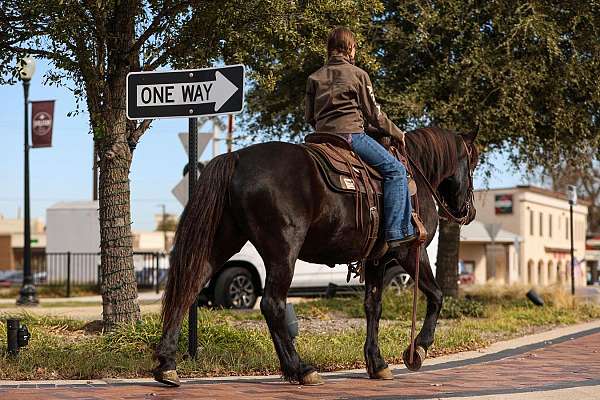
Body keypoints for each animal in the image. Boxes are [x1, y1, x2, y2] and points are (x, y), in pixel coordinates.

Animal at [154, 126, 478, 386]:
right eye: (473, 161)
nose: (470, 211)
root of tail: (237, 158)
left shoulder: (376, 261)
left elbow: (373, 308)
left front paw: (377, 363)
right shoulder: (411, 251)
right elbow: (436, 296)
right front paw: (418, 349)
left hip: (223, 241)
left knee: (190, 287)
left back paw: (167, 365)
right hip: (283, 251)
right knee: (272, 304)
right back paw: (300, 369)